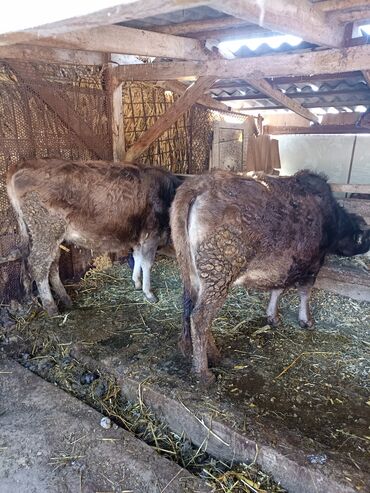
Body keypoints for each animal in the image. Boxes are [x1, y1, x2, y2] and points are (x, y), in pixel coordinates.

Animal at [7, 159, 182, 316]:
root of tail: (21, 165)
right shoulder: (151, 234)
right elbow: (147, 264)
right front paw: (149, 293)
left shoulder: (139, 237)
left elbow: (137, 257)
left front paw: (137, 282)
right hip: (46, 230)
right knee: (39, 265)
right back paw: (51, 307)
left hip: (51, 235)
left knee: (53, 265)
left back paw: (65, 299)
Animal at [171, 171, 370, 382]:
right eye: (367, 237)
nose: (367, 247)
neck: (331, 218)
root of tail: (200, 183)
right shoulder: (312, 264)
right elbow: (304, 292)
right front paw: (306, 320)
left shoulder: (285, 265)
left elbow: (278, 288)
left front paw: (272, 316)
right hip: (219, 271)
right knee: (200, 317)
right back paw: (204, 372)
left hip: (195, 274)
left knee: (192, 308)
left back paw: (213, 354)